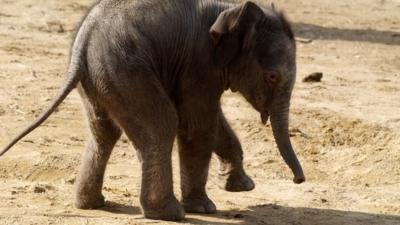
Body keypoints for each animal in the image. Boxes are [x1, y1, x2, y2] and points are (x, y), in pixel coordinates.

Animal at [1, 0, 304, 221]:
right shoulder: (199, 63)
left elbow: (210, 121)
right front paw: (205, 208)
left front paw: (242, 186)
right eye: (272, 77)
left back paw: (92, 204)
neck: (231, 9)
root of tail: (83, 43)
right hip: (124, 70)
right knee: (161, 124)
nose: (298, 180)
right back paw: (170, 214)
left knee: (104, 132)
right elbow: (197, 124)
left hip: (100, 79)